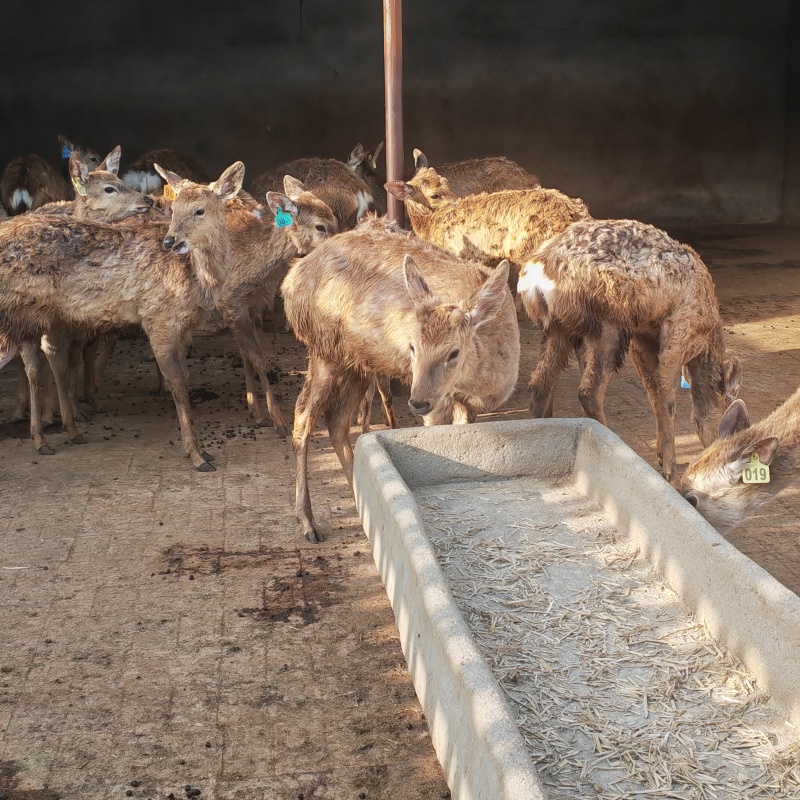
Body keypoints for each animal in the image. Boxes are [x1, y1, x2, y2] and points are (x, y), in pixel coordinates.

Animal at [0, 161, 245, 471]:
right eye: (174, 209)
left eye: (199, 210)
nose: (170, 241)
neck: (198, 279)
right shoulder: (158, 316)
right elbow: (177, 382)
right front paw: (197, 455)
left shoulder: (182, 327)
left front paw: (202, 452)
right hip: (22, 312)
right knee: (34, 363)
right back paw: (44, 434)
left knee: (44, 361)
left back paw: (55, 433)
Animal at [280, 217, 520, 542]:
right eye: (412, 347)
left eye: (453, 352)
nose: (418, 402)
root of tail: (291, 280)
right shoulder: (441, 401)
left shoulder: (462, 401)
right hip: (324, 347)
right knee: (304, 414)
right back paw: (308, 523)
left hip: (357, 360)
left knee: (337, 420)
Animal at [517, 218, 741, 482]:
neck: (705, 340)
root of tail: (535, 278)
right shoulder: (678, 331)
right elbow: (667, 396)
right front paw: (669, 467)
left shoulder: (643, 338)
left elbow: (653, 391)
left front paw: (659, 455)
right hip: (609, 324)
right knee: (589, 391)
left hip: (558, 328)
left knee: (540, 384)